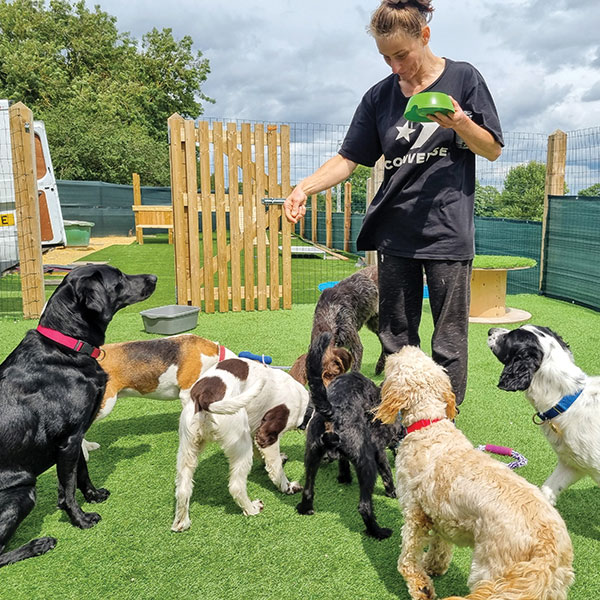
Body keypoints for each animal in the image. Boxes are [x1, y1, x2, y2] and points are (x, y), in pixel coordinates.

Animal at [0, 264, 157, 568]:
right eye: (119, 279)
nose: (154, 278)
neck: (67, 346)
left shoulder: (76, 436)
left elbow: (81, 474)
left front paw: (94, 496)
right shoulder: (68, 440)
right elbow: (69, 487)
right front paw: (81, 519)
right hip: (22, 491)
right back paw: (39, 544)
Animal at [170, 356, 308, 528]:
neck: (304, 405)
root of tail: (204, 396)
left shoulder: (255, 432)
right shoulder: (266, 435)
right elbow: (276, 468)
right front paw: (287, 487)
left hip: (188, 447)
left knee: (183, 488)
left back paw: (181, 523)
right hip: (241, 444)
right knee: (236, 486)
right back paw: (251, 508)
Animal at [296, 330, 404, 540]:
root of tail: (333, 412)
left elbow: (343, 462)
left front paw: (344, 478)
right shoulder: (378, 452)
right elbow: (387, 473)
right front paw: (392, 492)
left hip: (311, 456)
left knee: (308, 491)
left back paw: (305, 508)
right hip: (367, 465)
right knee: (364, 507)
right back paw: (378, 532)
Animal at [372, 344, 576, 600]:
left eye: (396, 362)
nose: (402, 348)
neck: (429, 425)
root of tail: (546, 552)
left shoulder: (415, 512)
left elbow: (408, 555)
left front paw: (421, 585)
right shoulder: (440, 514)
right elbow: (440, 546)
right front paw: (433, 566)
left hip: (489, 569)